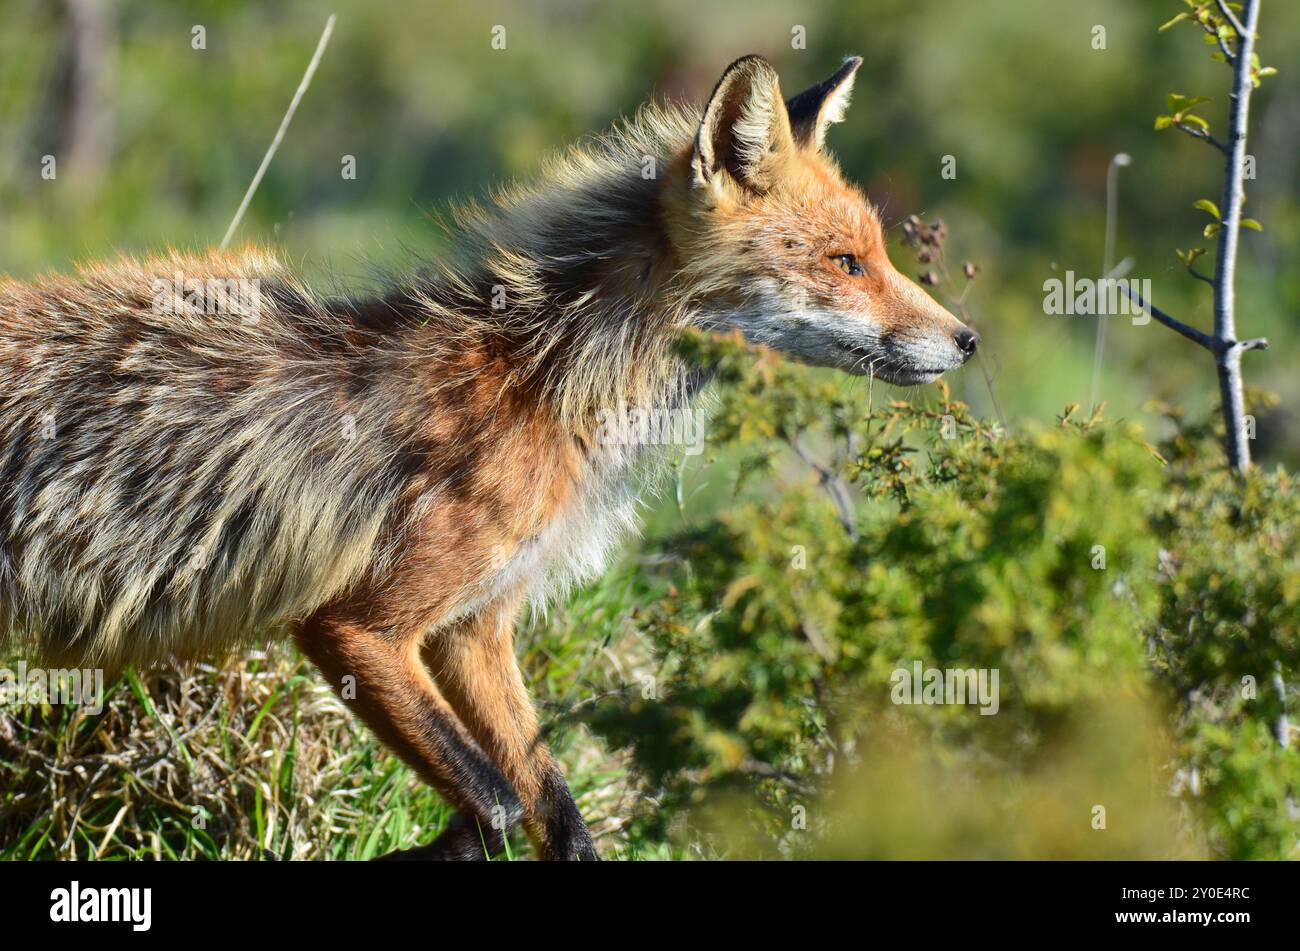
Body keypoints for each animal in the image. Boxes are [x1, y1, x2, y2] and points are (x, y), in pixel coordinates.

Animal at [0, 54, 977, 860]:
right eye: (846, 263)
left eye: (880, 253)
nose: (967, 339)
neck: (548, 380)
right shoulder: (354, 624)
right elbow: (500, 804)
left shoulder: (475, 626)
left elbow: (557, 811)